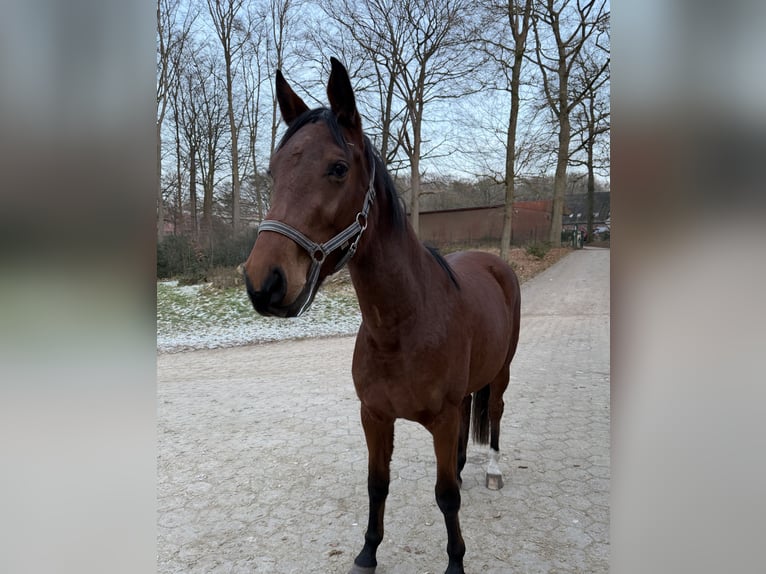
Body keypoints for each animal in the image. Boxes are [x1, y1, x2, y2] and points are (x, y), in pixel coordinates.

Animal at [243, 58, 521, 574]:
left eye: (337, 168)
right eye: (272, 172)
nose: (263, 282)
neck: (402, 326)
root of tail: (495, 263)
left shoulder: (441, 418)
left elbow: (445, 497)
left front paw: (456, 561)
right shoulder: (374, 416)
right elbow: (377, 485)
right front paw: (368, 551)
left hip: (503, 372)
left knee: (493, 413)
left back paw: (492, 469)